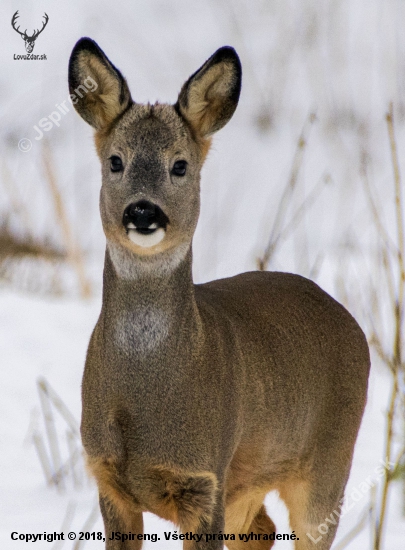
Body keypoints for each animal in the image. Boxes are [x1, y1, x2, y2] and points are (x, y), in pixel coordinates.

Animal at [68, 38, 370, 550]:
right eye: (115, 161)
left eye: (180, 165)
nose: (143, 211)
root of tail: (350, 321)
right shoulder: (108, 479)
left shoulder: (206, 480)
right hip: (251, 482)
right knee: (263, 529)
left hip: (330, 462)